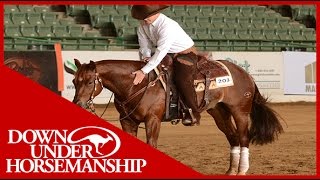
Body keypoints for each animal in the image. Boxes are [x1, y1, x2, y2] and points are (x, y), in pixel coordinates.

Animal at [65, 57, 282, 175]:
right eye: (74, 81)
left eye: (89, 81)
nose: (78, 104)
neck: (136, 85)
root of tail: (245, 74)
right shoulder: (127, 121)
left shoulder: (153, 121)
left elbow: (151, 144)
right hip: (219, 113)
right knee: (233, 137)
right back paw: (230, 171)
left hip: (240, 111)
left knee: (244, 137)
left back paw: (242, 170)